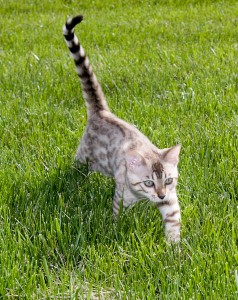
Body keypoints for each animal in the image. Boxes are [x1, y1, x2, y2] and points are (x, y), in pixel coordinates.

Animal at [62, 15, 181, 243]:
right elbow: (117, 216)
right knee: (77, 166)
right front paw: (115, 231)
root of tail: (101, 112)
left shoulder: (171, 201)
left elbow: (173, 223)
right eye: (148, 183)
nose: (160, 194)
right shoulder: (122, 195)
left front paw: (175, 248)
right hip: (84, 157)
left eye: (169, 180)